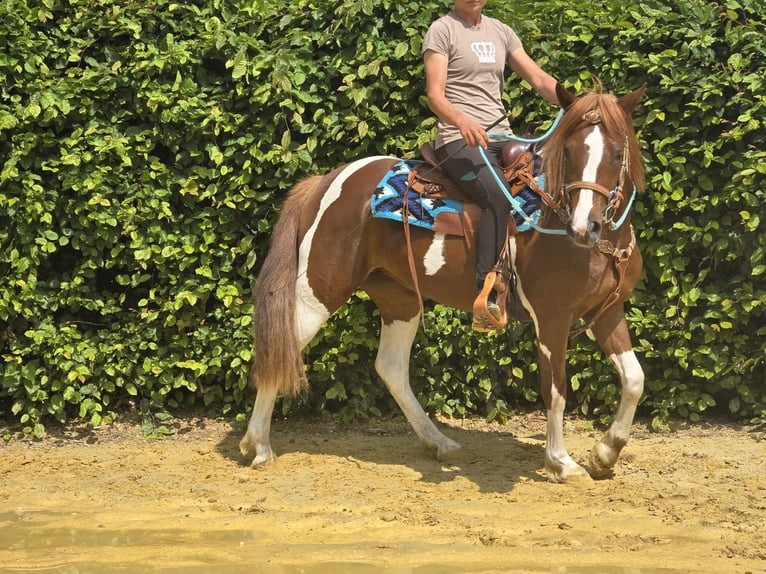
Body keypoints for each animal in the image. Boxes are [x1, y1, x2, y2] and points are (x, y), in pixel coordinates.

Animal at [239, 81, 647, 484]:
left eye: (616, 154)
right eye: (570, 151)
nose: (584, 228)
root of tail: (323, 182)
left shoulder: (608, 312)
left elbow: (634, 379)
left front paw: (605, 453)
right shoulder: (552, 318)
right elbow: (556, 389)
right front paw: (562, 462)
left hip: (399, 299)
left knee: (390, 367)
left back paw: (438, 442)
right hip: (318, 292)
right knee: (281, 350)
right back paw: (258, 446)